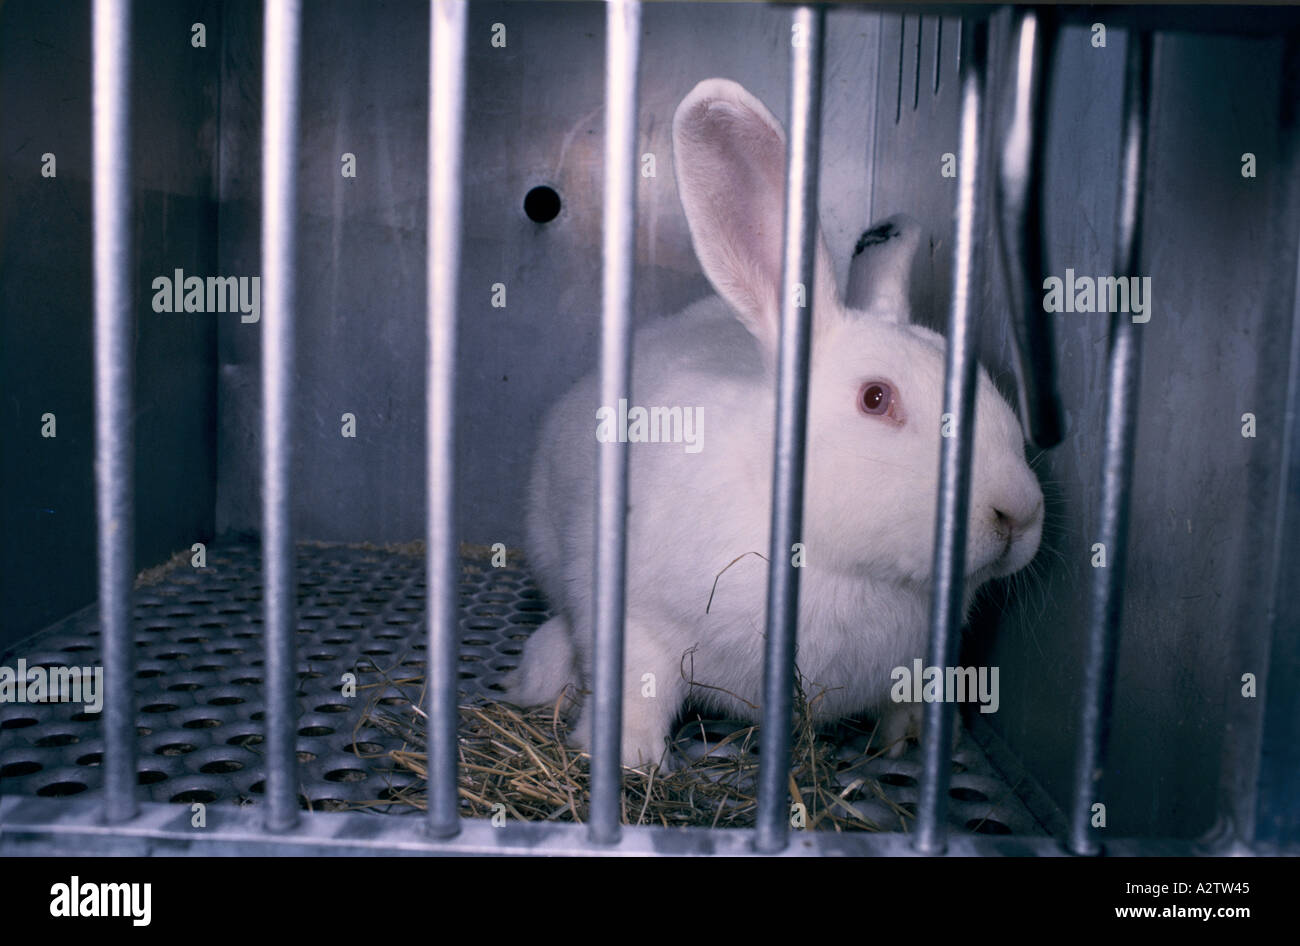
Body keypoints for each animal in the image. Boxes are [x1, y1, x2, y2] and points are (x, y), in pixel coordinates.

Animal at [504, 78, 1044, 770]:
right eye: (875, 398)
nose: (1018, 514)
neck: (832, 557)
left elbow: (907, 703)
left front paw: (907, 744)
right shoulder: (639, 623)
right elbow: (637, 694)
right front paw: (633, 761)